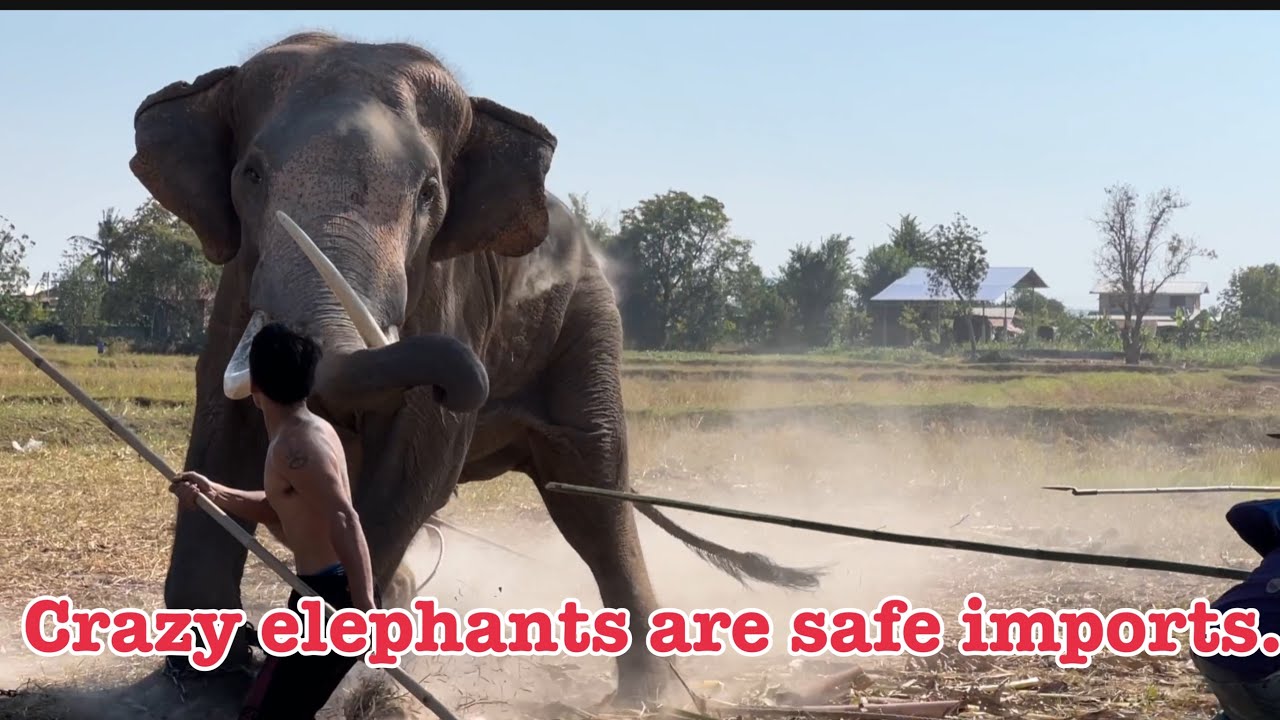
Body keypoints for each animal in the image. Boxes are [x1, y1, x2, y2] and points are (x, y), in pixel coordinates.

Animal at [128, 30, 822, 710]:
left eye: (429, 194)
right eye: (250, 174)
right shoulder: (236, 284)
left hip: (588, 328)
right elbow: (224, 427)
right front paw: (209, 678)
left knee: (592, 494)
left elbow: (418, 462)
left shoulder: (451, 291)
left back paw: (651, 696)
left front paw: (312, 671)